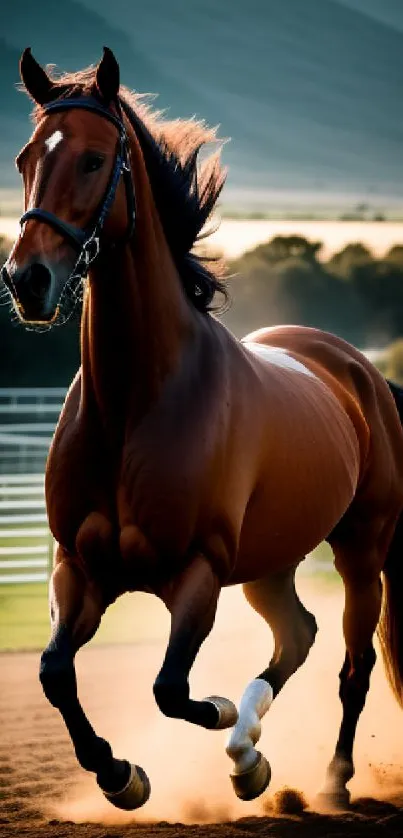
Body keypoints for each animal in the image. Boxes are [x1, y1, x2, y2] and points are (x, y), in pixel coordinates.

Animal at [3, 46, 403, 812]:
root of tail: (357, 372)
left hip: (359, 550)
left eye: (95, 160)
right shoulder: (79, 567)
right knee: (297, 634)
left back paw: (325, 779)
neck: (135, 404)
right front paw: (122, 777)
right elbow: (54, 673)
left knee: (352, 664)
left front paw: (221, 722)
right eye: (26, 158)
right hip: (273, 561)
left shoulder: (198, 571)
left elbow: (170, 688)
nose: (27, 280)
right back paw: (247, 751)